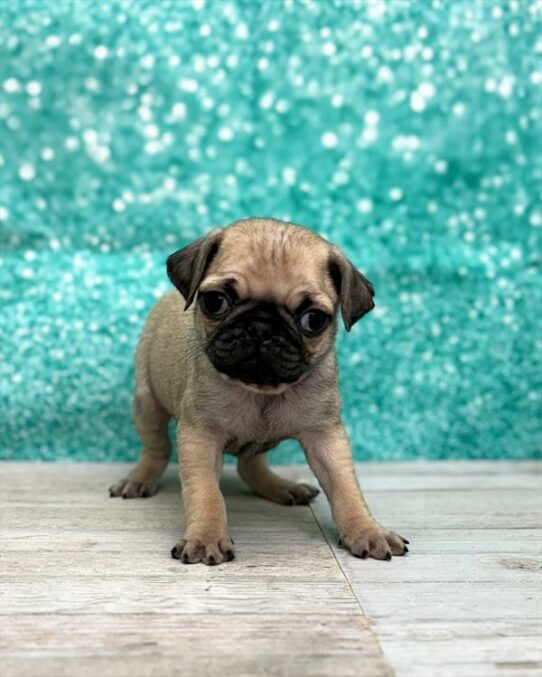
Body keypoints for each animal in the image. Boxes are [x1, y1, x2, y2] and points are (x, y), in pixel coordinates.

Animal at [109, 219, 408, 564]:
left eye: (314, 319)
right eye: (215, 301)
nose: (261, 326)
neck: (260, 391)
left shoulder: (325, 436)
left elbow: (345, 485)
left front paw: (367, 531)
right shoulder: (201, 436)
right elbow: (206, 492)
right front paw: (205, 536)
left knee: (249, 465)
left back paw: (280, 487)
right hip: (148, 404)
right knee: (157, 448)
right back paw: (139, 479)